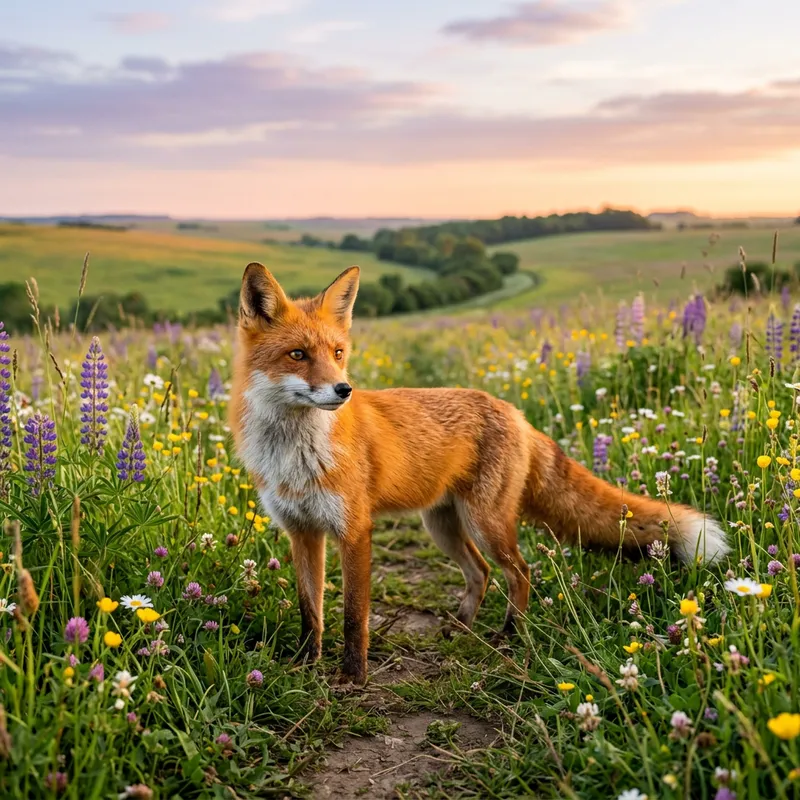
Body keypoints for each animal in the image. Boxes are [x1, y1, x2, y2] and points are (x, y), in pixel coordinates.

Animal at [229, 262, 729, 684]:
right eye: (297, 354)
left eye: (337, 352)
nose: (343, 389)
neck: (295, 454)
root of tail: (515, 411)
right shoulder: (302, 532)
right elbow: (309, 609)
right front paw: (304, 662)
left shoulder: (354, 531)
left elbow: (354, 615)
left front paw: (353, 676)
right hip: (444, 525)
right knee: (481, 573)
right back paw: (459, 626)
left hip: (484, 523)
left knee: (520, 571)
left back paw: (510, 634)